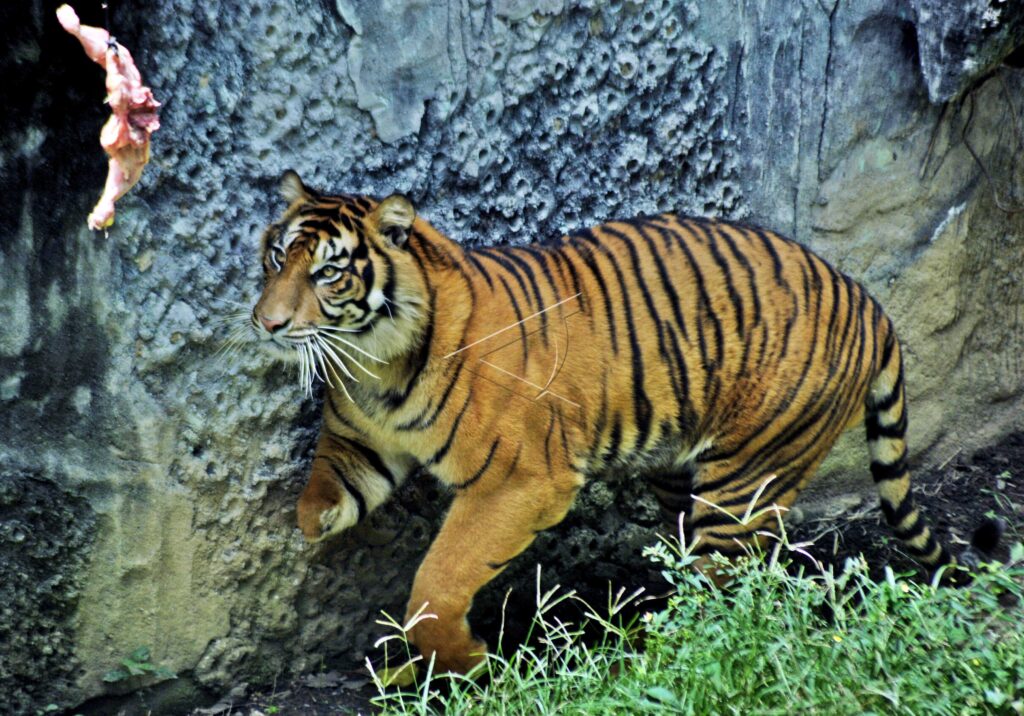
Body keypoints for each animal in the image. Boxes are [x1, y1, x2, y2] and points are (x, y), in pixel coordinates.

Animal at [249, 170, 978, 674]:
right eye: (276, 258)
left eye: (329, 273)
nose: (268, 323)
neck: (373, 363)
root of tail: (867, 299)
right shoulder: (361, 438)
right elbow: (327, 485)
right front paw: (317, 521)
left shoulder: (519, 482)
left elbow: (440, 578)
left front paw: (465, 661)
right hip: (682, 472)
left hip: (747, 478)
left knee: (726, 588)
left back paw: (668, 652)